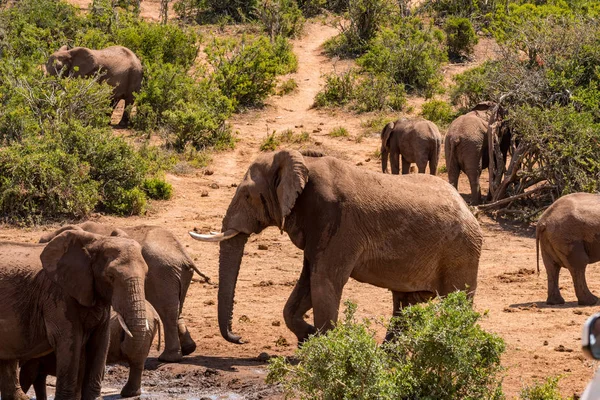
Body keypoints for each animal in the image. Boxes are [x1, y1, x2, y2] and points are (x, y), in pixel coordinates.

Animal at [39, 222, 202, 362]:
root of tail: (183, 254)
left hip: (162, 274)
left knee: (167, 311)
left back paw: (168, 359)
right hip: (178, 274)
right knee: (177, 308)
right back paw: (187, 349)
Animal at [190, 151, 486, 346]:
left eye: (247, 195)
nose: (239, 338)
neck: (304, 163)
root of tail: (468, 209)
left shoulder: (336, 221)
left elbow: (324, 282)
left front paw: (322, 350)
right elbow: (307, 284)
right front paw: (309, 339)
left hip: (461, 252)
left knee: (455, 302)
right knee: (406, 303)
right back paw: (388, 356)